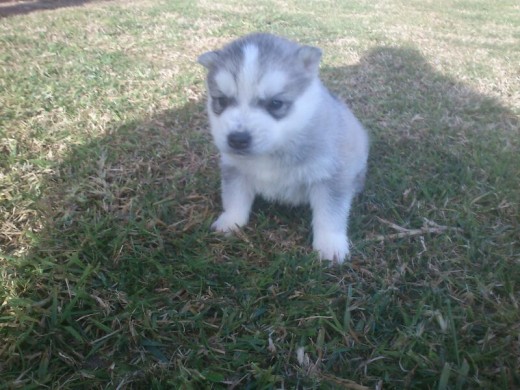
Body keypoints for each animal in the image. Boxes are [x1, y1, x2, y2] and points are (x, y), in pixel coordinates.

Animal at [197, 33, 368, 264]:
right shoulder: (235, 169)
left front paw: (330, 245)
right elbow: (234, 198)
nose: (237, 139)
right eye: (221, 100)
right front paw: (230, 221)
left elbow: (330, 214)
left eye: (276, 103)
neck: (273, 150)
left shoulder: (331, 175)